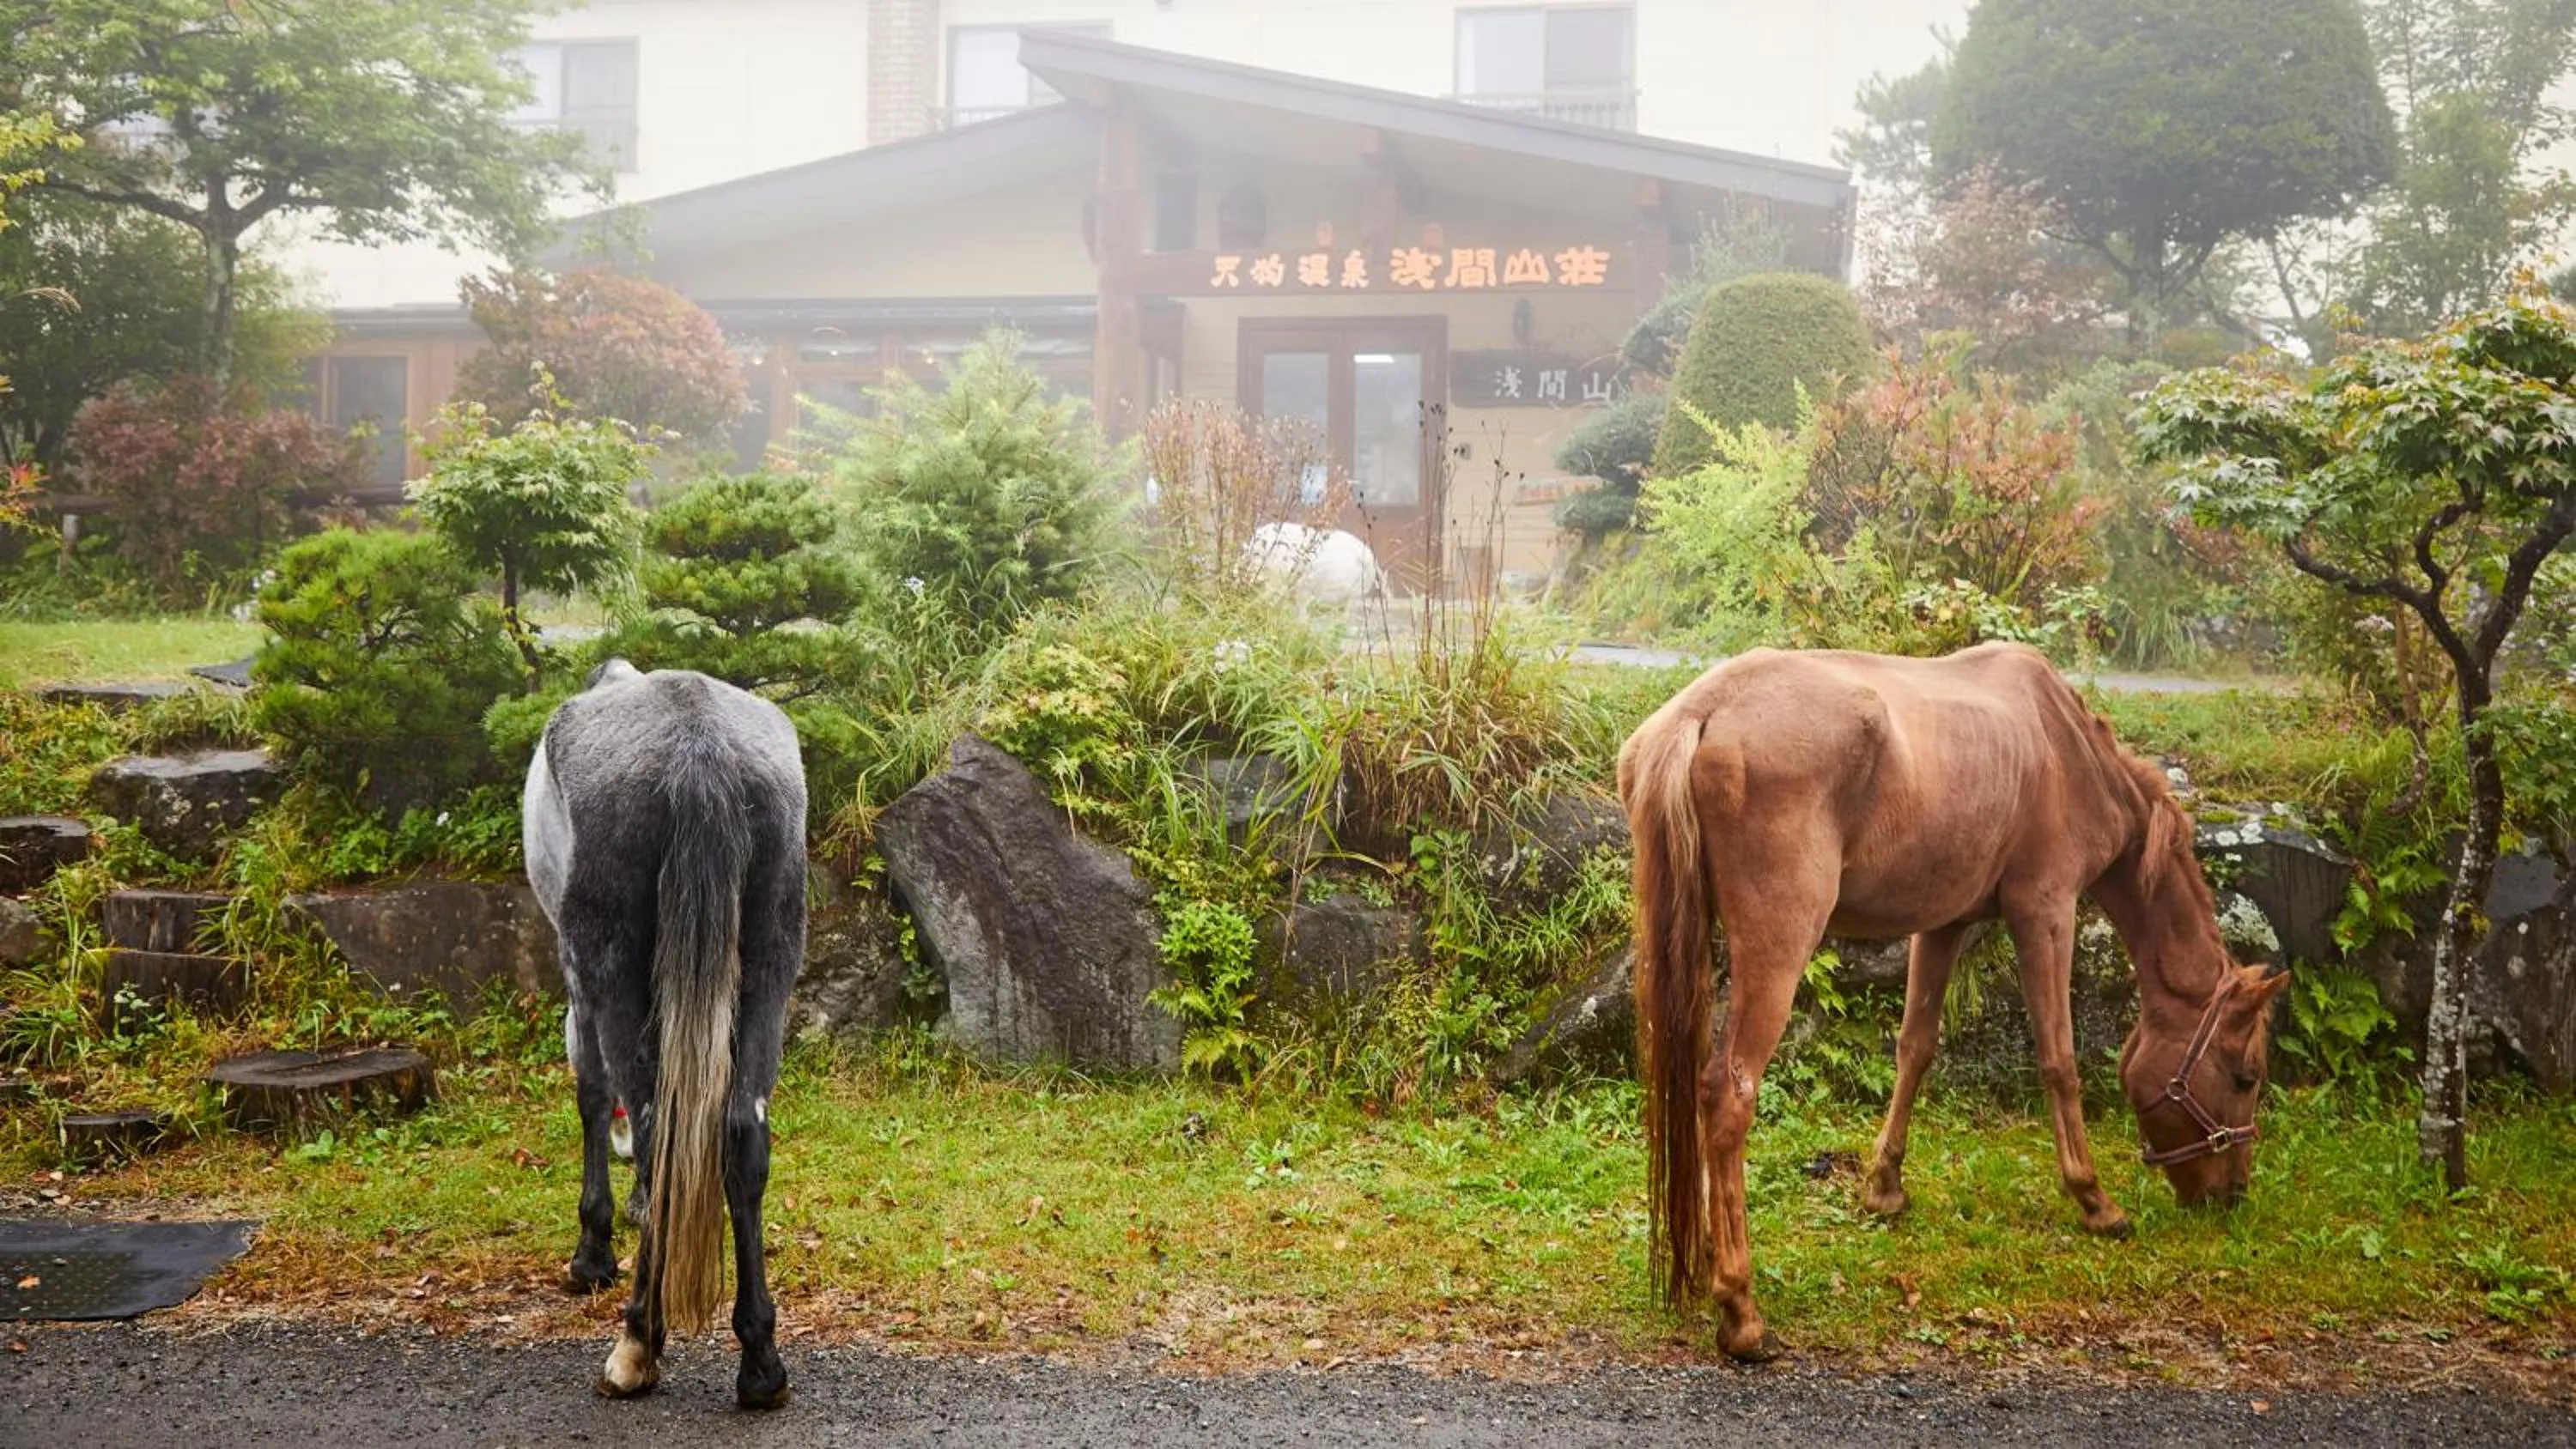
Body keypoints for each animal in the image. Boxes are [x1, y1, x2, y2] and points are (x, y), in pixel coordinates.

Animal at [523, 659, 808, 1408]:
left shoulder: (579, 978)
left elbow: (594, 1096)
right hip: (769, 959)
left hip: (612, 965)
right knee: (740, 1138)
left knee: (658, 1138)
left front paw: (592, 1248)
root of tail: (698, 751)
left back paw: (637, 1343)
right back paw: (760, 1360)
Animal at [1617, 641, 2284, 1362]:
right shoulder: (2047, 912)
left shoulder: (1942, 926)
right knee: (1729, 1092)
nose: (2232, 1193)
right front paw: (2094, 1200)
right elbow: (2060, 1060)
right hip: (1779, 945)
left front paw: (1884, 1188)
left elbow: (1916, 1049)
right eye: (2245, 1076)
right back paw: (1740, 1307)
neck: (2065, 746)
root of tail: (1700, 713)